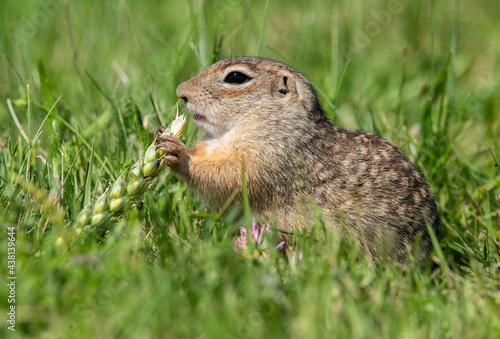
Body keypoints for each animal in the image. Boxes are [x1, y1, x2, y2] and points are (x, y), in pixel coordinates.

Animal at [154, 56, 440, 266]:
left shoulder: (270, 158)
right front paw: (160, 134)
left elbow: (228, 177)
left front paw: (179, 154)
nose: (181, 92)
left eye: (236, 77)